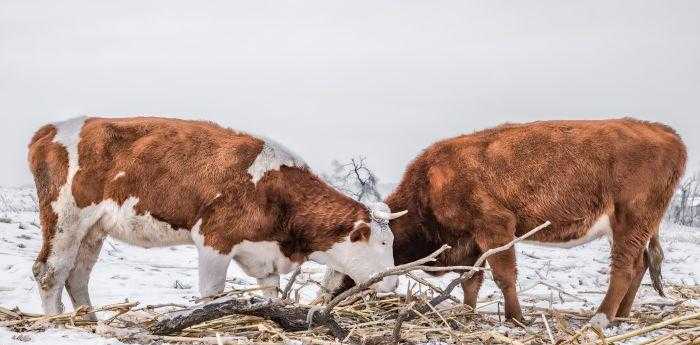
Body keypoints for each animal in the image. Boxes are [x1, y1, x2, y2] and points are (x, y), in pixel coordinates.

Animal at [28, 116, 404, 318]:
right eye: (381, 243)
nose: (394, 282)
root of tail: (51, 128)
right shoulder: (214, 239)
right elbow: (211, 294)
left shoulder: (264, 255)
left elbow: (271, 294)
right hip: (65, 217)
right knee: (50, 271)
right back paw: (56, 321)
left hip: (93, 229)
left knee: (77, 275)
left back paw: (90, 322)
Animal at [326, 119, 688, 328]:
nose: (327, 295)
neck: (431, 183)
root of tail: (663, 131)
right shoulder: (470, 242)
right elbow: (471, 280)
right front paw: (467, 312)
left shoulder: (495, 227)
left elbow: (503, 276)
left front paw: (516, 319)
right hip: (632, 226)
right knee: (640, 264)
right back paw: (621, 316)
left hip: (631, 218)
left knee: (624, 268)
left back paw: (599, 320)